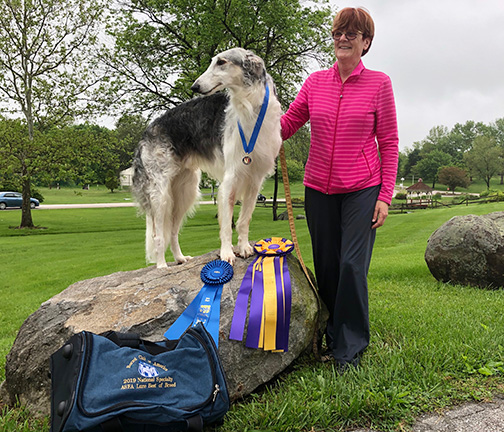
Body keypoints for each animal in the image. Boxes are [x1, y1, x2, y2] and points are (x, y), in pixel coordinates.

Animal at [132, 49, 284, 268]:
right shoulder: (230, 178)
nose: (194, 86)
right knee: (159, 235)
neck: (250, 105)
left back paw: (180, 258)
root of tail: (147, 132)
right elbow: (227, 225)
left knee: (173, 231)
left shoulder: (255, 179)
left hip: (184, 191)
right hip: (160, 195)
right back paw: (161, 266)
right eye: (214, 61)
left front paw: (244, 247)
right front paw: (227, 254)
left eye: (221, 62)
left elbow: (244, 220)